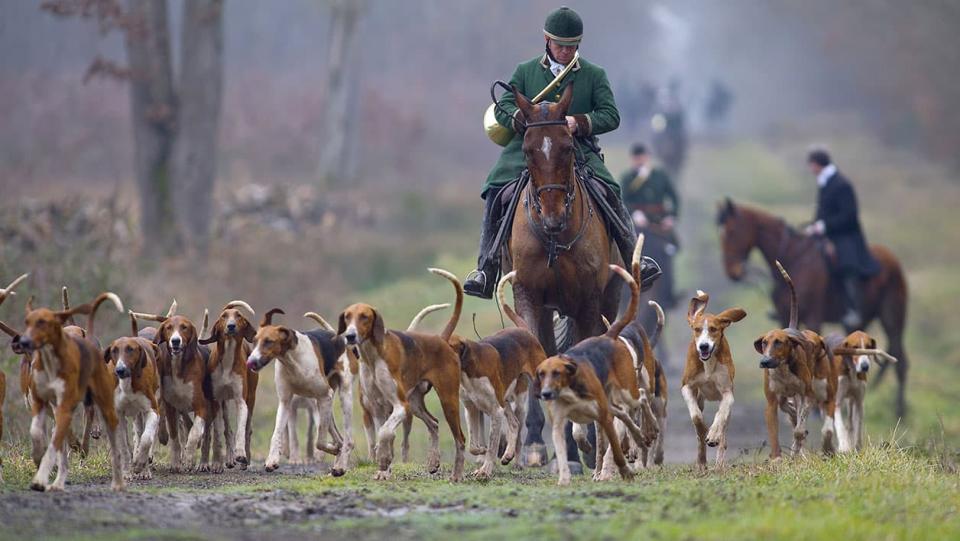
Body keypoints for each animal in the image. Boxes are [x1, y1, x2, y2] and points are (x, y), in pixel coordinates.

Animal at [506, 84, 628, 464]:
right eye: (527, 150)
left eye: (568, 146)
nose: (553, 218)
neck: (554, 240)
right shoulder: (529, 297)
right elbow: (536, 355)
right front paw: (533, 444)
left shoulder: (588, 302)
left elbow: (580, 354)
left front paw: (583, 439)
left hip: (606, 301)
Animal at [720, 199, 908, 418]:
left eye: (732, 231)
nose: (733, 273)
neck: (795, 257)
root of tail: (892, 259)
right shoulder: (784, 318)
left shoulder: (813, 317)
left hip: (893, 318)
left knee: (901, 362)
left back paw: (900, 410)